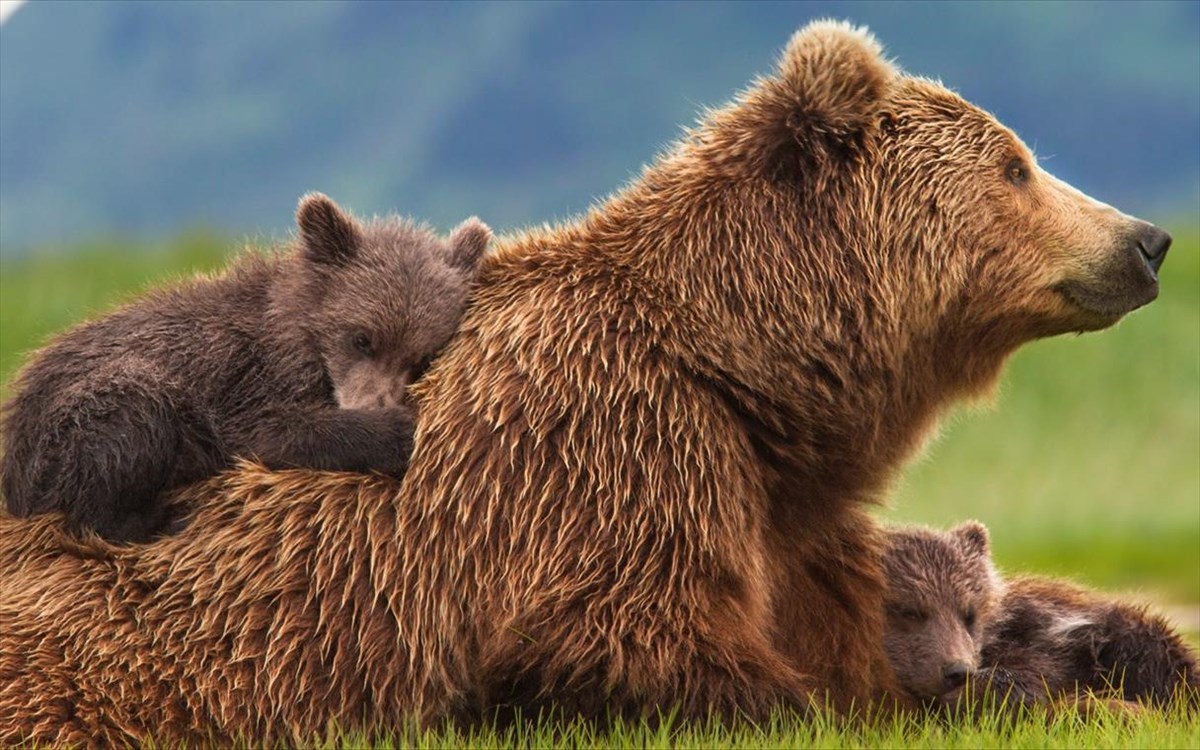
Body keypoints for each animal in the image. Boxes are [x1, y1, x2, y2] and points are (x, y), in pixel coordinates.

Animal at [0, 193, 490, 542]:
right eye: (362, 338)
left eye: (420, 357)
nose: (375, 403)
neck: (298, 334)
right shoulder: (245, 379)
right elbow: (272, 432)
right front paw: (397, 431)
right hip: (71, 425)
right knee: (130, 419)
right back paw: (163, 517)